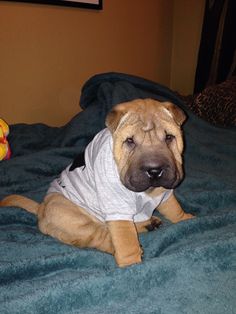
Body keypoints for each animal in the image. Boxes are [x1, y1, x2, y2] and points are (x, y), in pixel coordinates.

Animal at [0, 98, 195, 268]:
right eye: (130, 141)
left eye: (169, 137)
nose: (154, 170)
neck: (148, 192)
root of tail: (41, 208)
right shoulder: (116, 205)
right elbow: (125, 240)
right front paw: (132, 265)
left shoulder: (164, 191)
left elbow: (173, 207)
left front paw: (186, 219)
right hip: (72, 217)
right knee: (102, 235)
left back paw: (148, 223)